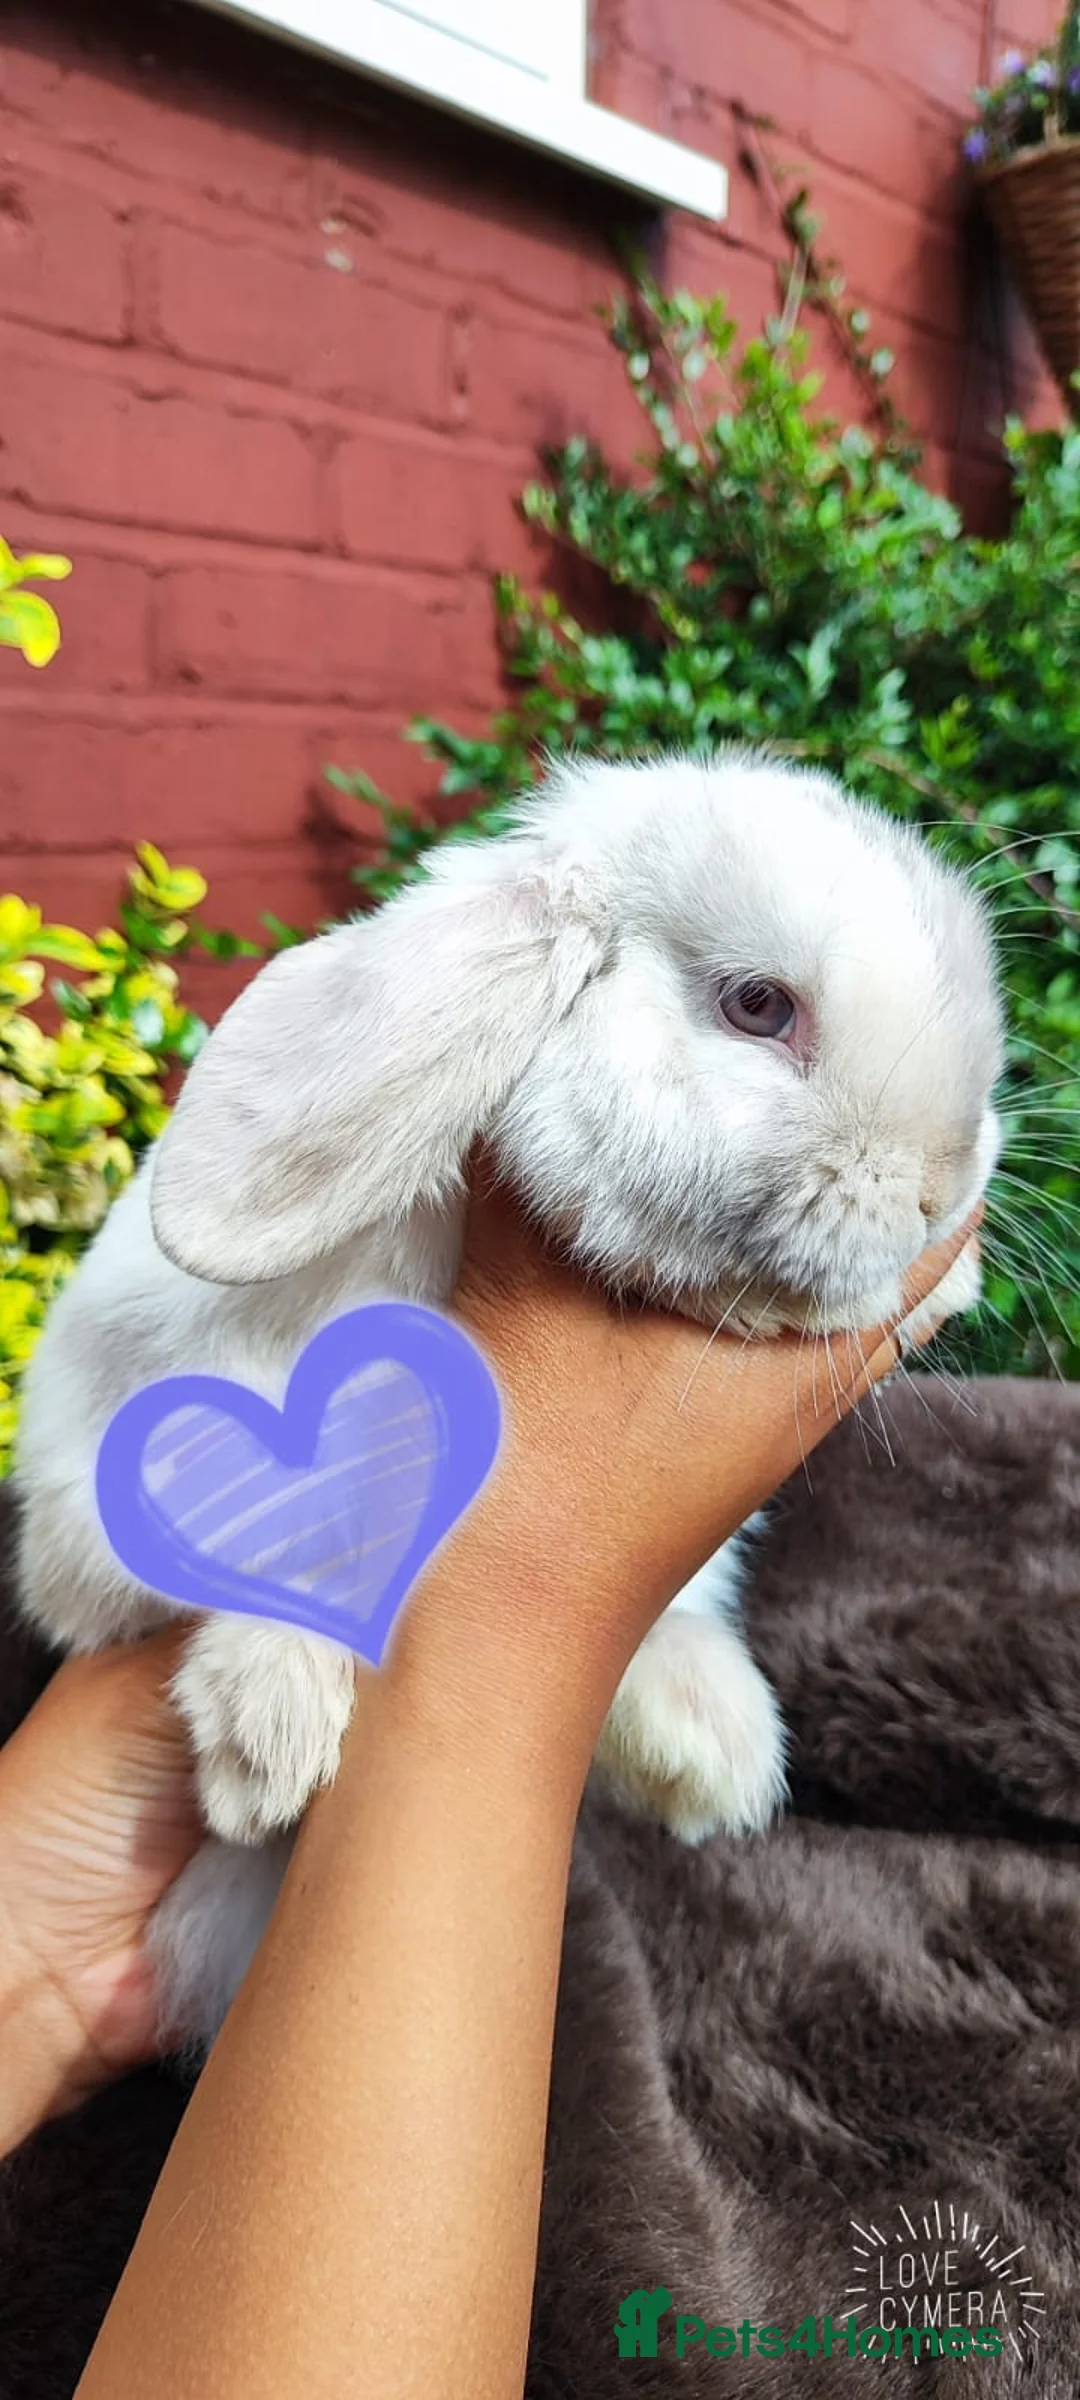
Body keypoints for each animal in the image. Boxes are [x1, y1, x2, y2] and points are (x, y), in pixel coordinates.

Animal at [11, 750, 1003, 2048]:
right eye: (757, 1006)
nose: (943, 1189)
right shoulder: (112, 1494)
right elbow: (274, 1547)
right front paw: (266, 1746)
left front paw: (709, 1750)